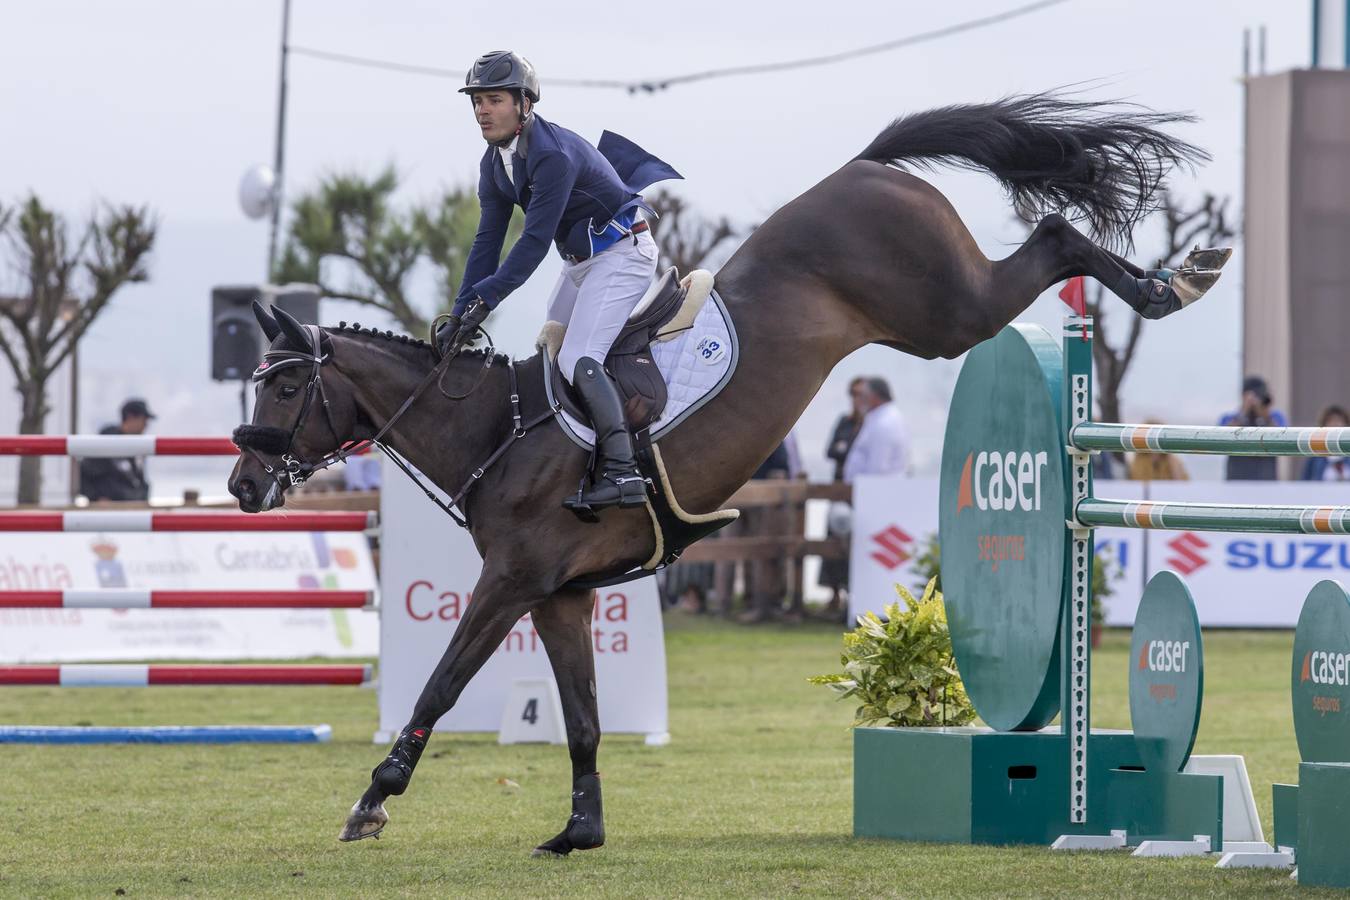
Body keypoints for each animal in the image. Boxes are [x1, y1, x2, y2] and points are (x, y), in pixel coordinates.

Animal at [229, 93, 1225, 858]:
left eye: (285, 384)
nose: (242, 488)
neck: (495, 431)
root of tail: (865, 166)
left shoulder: (509, 583)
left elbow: (440, 685)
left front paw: (371, 802)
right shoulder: (558, 594)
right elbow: (581, 719)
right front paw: (580, 832)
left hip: (947, 312)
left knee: (1054, 237)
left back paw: (1174, 282)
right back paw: (1177, 277)